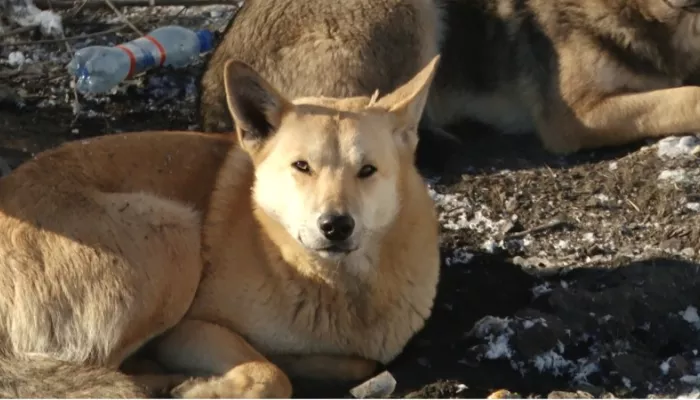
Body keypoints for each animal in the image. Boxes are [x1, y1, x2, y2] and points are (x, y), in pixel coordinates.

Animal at [0, 56, 440, 396]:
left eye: (367, 171)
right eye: (302, 166)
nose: (336, 225)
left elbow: (351, 362)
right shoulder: (190, 328)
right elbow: (270, 374)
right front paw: (207, 388)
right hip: (173, 233)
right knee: (99, 369)